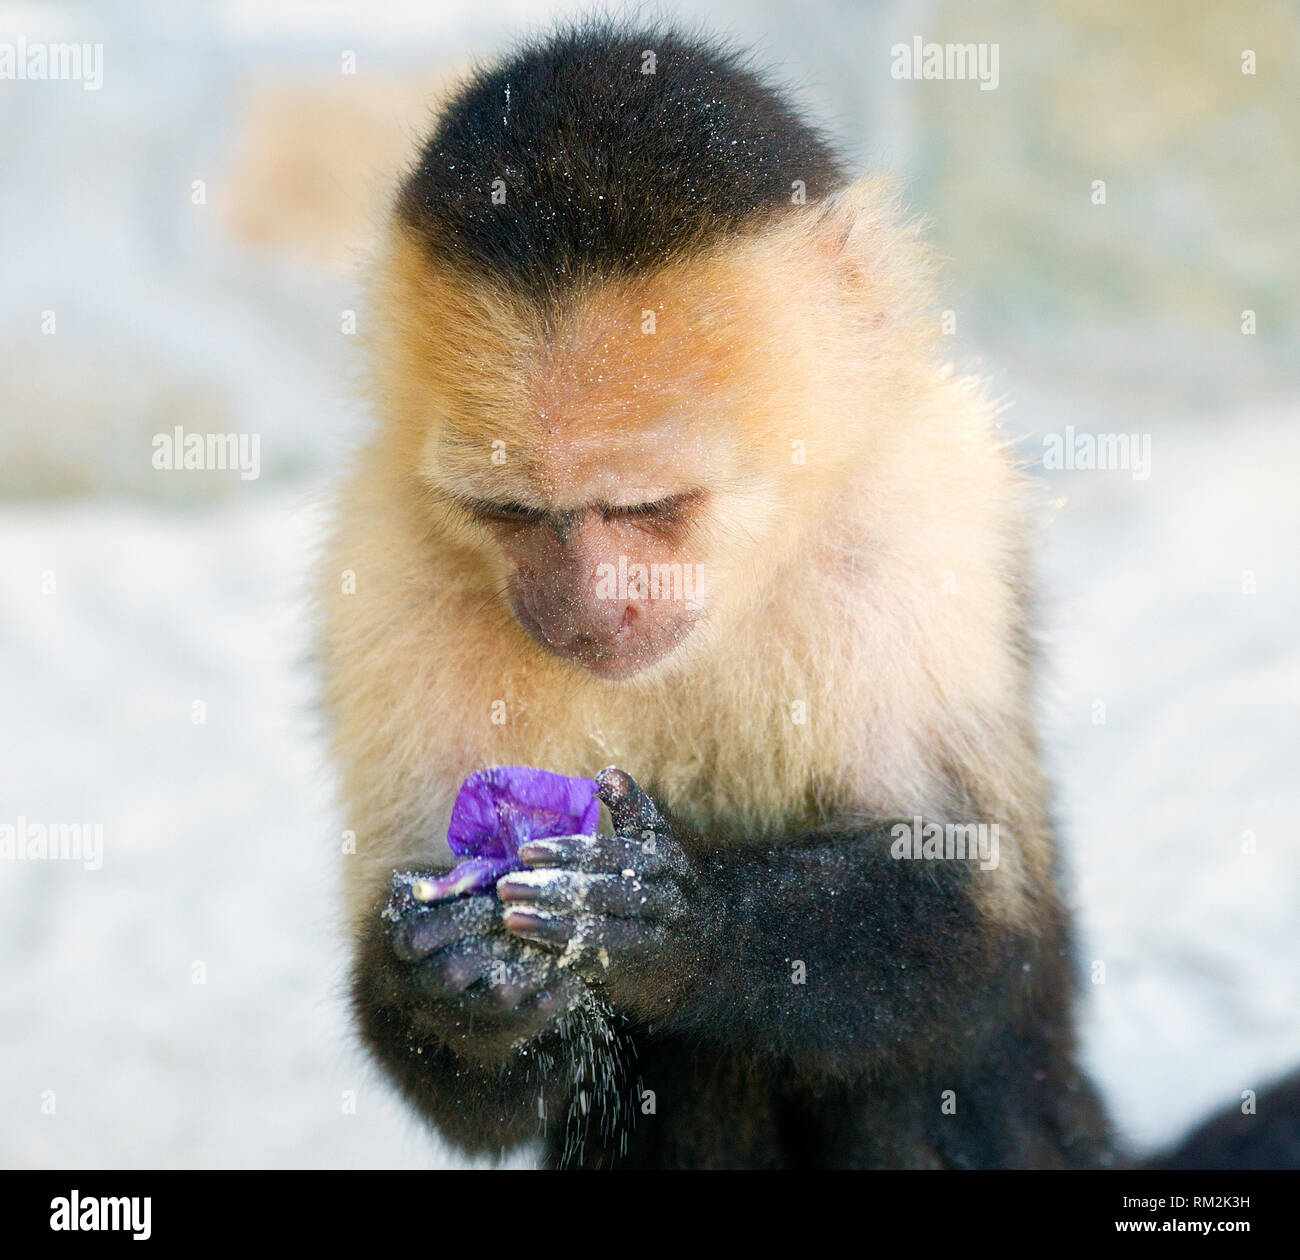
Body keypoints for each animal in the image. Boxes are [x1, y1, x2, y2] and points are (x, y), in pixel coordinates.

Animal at [322, 22, 1300, 1170]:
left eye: (653, 506)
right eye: (510, 513)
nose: (591, 609)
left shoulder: (922, 510)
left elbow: (977, 926)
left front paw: (679, 921)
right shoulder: (382, 572)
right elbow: (470, 1084)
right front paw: (451, 975)